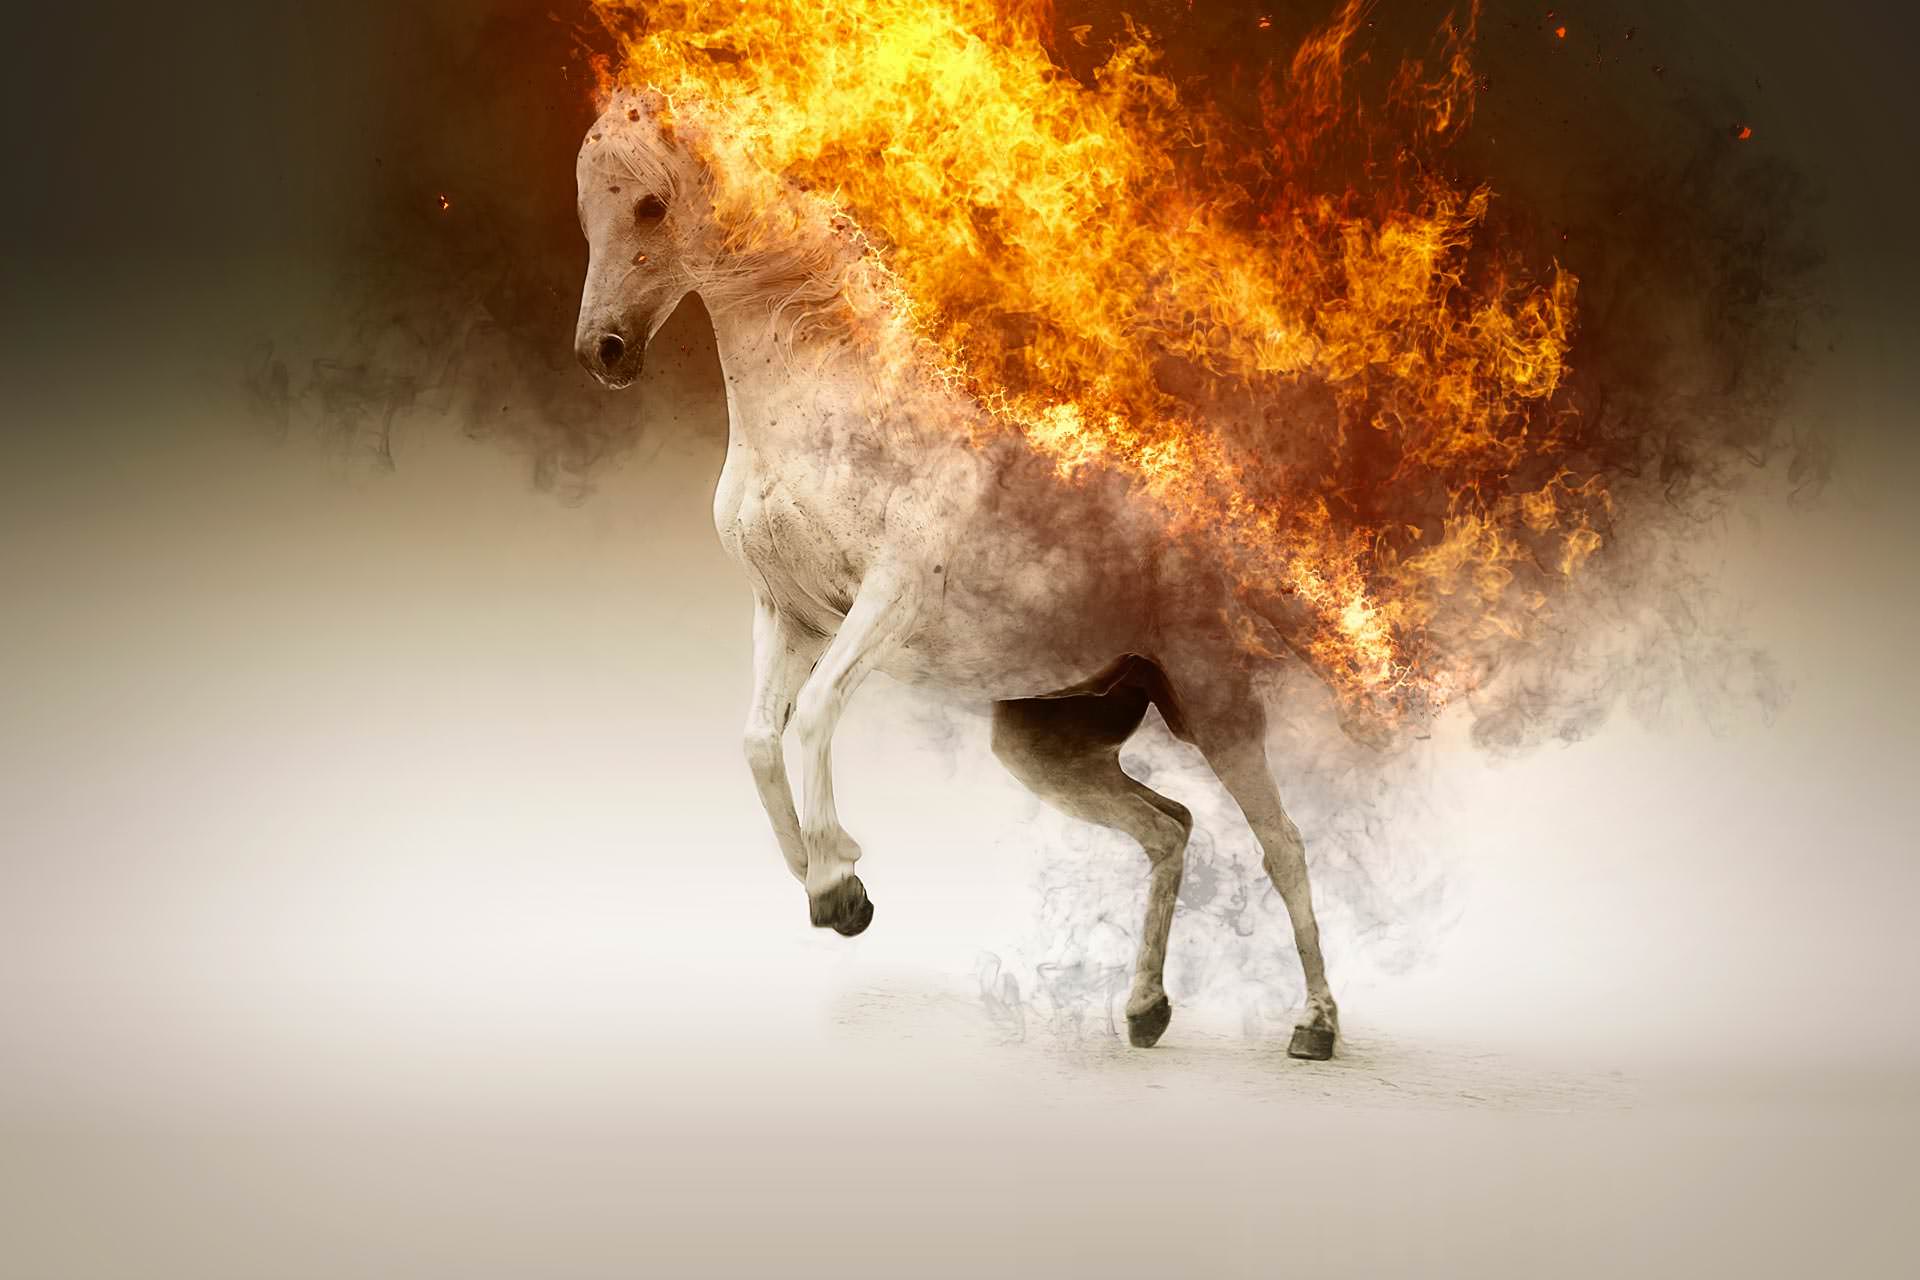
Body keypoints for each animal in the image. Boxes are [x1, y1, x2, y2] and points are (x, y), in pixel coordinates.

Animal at [571, 92, 1340, 1059]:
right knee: (1169, 830)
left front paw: (839, 889)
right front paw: (830, 882)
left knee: (1284, 845)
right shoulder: (787, 614)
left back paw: (1316, 1027)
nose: (603, 351)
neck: (819, 414)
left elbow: (812, 714)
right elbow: (756, 741)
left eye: (650, 207)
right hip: (1045, 745)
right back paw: (1144, 1010)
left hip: (1212, 706)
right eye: (586, 210)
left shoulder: (884, 602)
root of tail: (1208, 545)